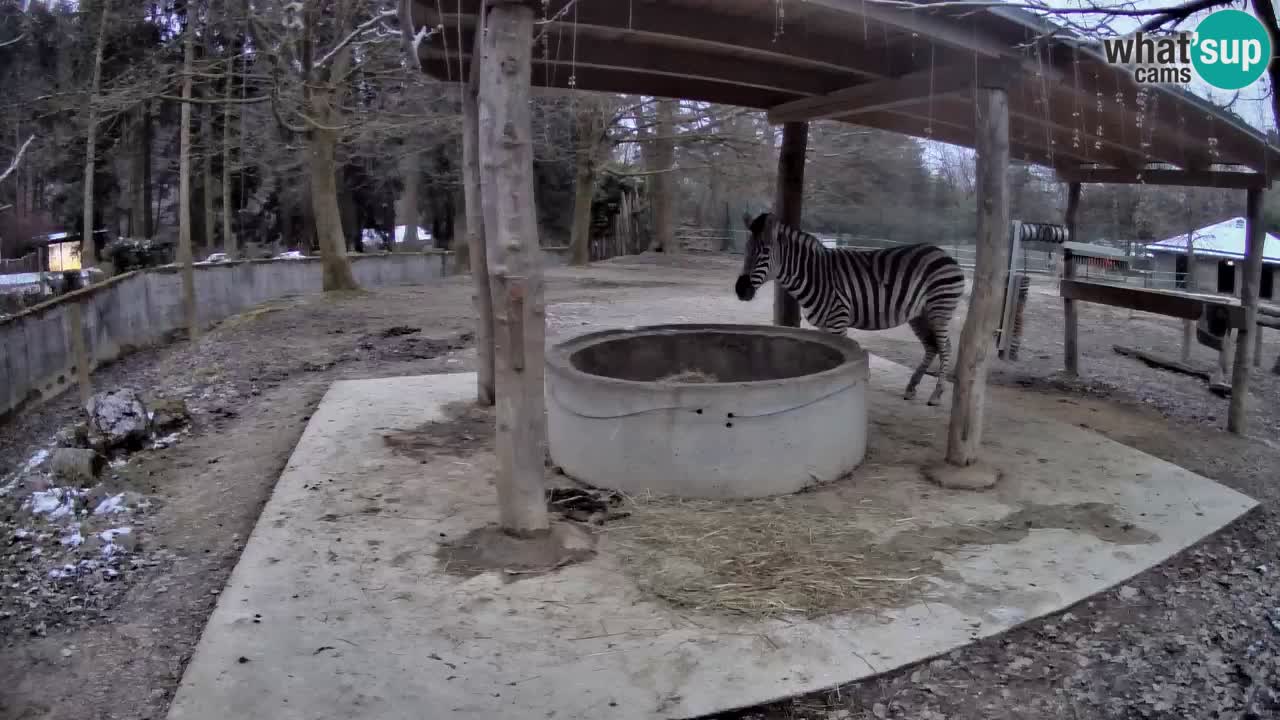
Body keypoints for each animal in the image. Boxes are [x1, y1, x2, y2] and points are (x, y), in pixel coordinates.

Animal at [737, 211, 962, 404]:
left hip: (939, 309)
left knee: (945, 348)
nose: (740, 290)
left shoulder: (838, 319)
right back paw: (911, 388)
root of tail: (944, 254)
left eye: (765, 252)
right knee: (932, 346)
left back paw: (936, 394)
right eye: (746, 250)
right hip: (919, 314)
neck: (815, 275)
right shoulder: (824, 325)